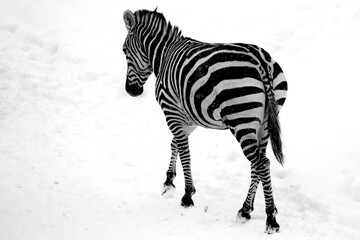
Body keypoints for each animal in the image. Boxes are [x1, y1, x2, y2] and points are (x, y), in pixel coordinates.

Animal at [122, 8, 288, 233]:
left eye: (124, 51)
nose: (130, 91)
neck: (163, 55)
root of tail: (260, 62)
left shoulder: (172, 111)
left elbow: (185, 152)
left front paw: (187, 195)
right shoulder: (188, 118)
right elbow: (175, 144)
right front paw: (168, 182)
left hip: (241, 119)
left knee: (261, 163)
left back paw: (271, 218)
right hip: (263, 123)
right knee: (259, 162)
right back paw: (245, 210)